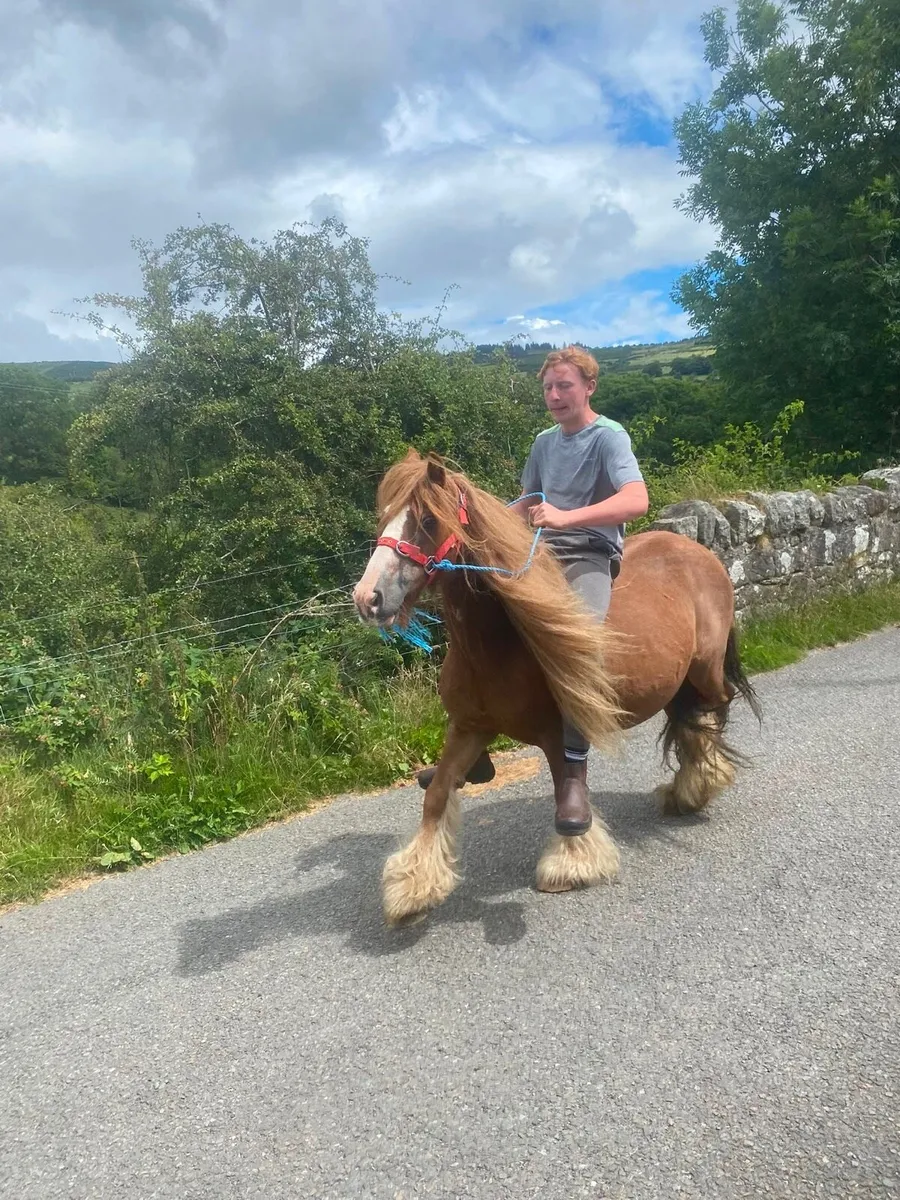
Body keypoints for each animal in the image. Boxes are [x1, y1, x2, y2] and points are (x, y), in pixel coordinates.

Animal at [352, 449, 760, 926]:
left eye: (428, 520)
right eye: (385, 516)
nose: (368, 598)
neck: (499, 644)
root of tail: (699, 553)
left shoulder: (555, 732)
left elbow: (567, 791)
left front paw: (572, 860)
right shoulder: (469, 728)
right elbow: (436, 797)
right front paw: (412, 886)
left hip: (704, 670)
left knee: (711, 711)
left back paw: (701, 782)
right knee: (689, 718)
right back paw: (688, 789)